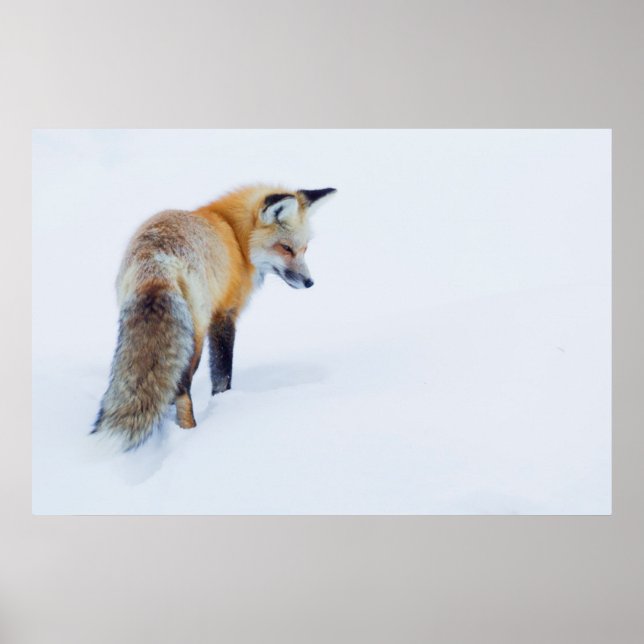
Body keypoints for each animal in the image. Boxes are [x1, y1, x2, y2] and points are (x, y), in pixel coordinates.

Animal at [92, 184, 336, 450]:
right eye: (286, 248)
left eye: (305, 249)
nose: (310, 282)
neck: (234, 235)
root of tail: (156, 261)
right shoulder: (224, 314)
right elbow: (222, 373)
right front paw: (223, 403)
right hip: (195, 336)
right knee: (181, 386)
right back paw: (188, 430)